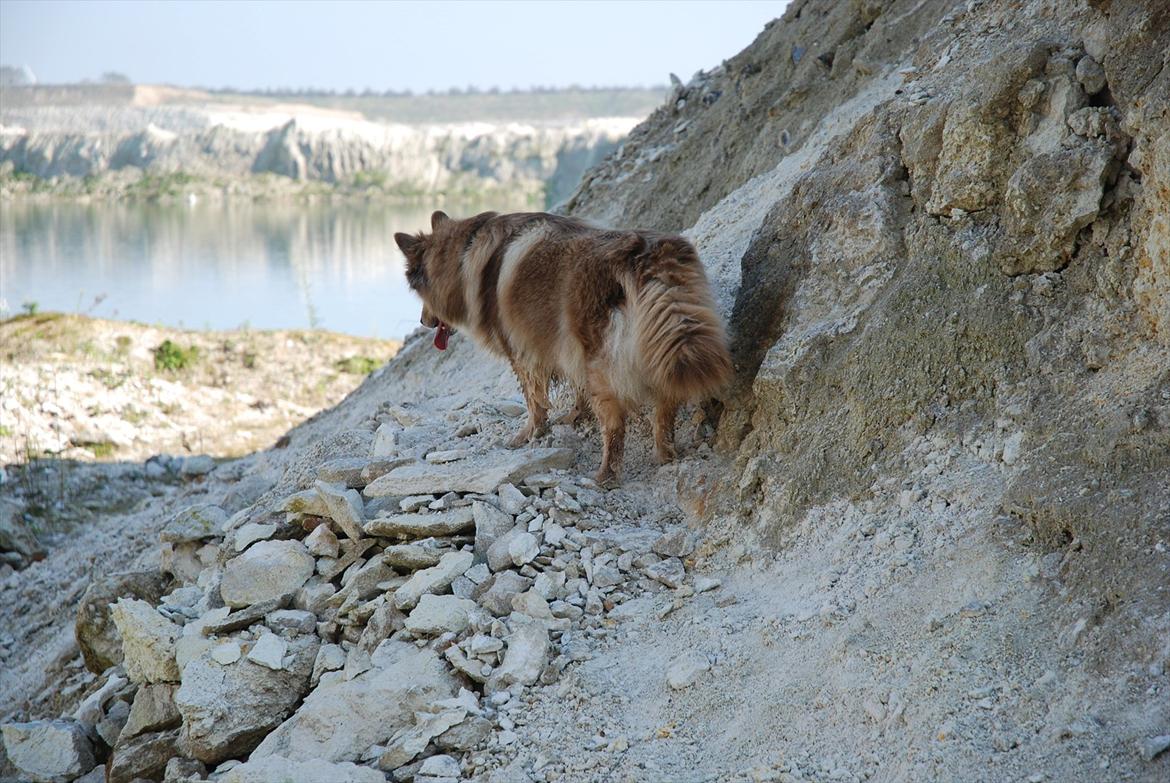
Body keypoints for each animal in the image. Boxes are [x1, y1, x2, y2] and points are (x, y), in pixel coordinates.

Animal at [397, 210, 734, 484]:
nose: (424, 321)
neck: (465, 253)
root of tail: (645, 257)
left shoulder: (523, 354)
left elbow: (534, 401)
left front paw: (530, 434)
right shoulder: (563, 350)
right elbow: (575, 391)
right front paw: (574, 417)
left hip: (602, 369)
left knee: (615, 427)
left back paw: (606, 476)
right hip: (656, 355)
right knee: (664, 412)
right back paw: (665, 454)